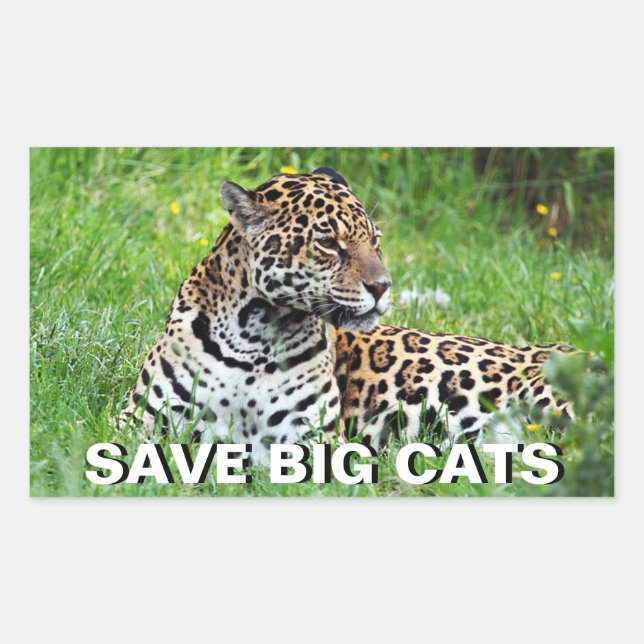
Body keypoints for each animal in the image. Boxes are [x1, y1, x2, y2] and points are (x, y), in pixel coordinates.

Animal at [122, 167, 575, 463]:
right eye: (328, 243)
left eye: (375, 241)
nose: (382, 286)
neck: (255, 335)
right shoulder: (140, 420)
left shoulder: (312, 440)